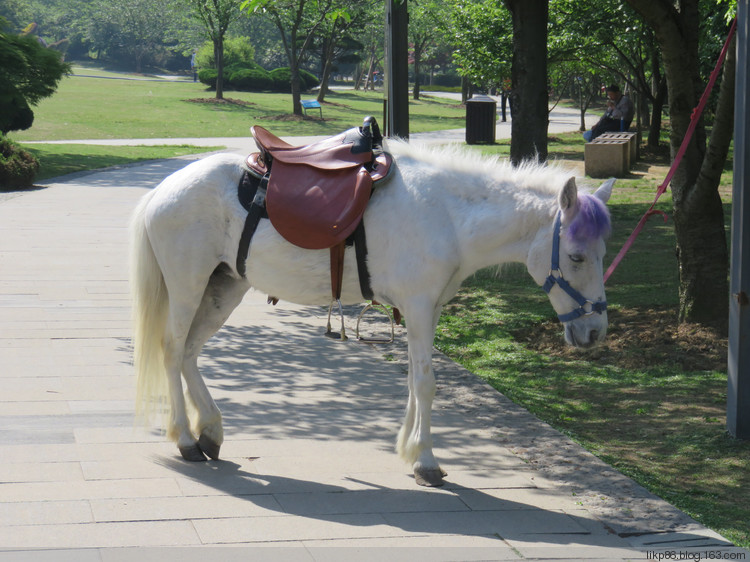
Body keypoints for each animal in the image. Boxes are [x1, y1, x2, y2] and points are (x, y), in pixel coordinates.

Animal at [132, 140, 616, 486]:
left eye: (602, 253)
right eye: (576, 257)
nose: (595, 331)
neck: (448, 216)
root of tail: (162, 190)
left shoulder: (427, 311)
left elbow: (415, 379)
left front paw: (410, 448)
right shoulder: (418, 307)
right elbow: (426, 383)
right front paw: (426, 460)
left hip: (224, 287)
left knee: (190, 353)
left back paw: (210, 430)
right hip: (188, 286)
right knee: (173, 351)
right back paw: (187, 439)